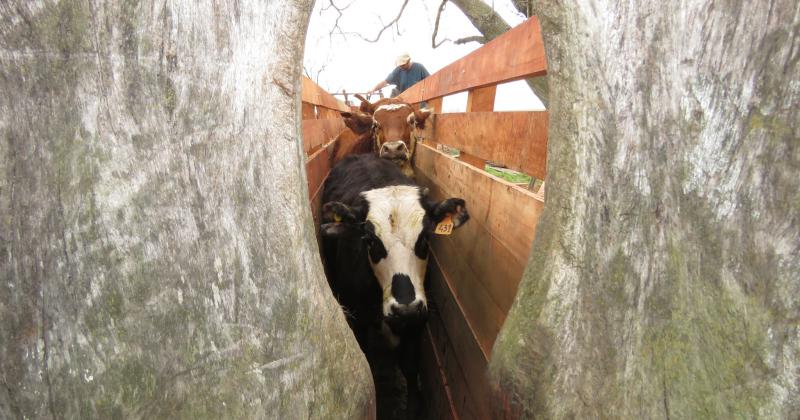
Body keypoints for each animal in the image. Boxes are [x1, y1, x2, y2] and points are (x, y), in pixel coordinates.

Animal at [320, 153, 468, 416]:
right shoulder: (356, 318)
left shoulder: (417, 321)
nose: (405, 308)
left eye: (426, 237)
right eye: (369, 239)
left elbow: (409, 366)